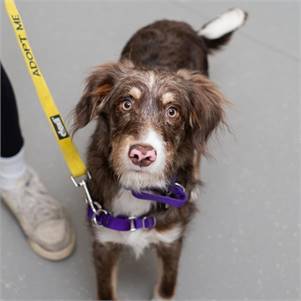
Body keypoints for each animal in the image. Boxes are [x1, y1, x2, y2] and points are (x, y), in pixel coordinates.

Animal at [72, 7, 246, 300]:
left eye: (173, 111)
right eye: (126, 103)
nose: (142, 155)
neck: (138, 189)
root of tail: (182, 26)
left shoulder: (171, 240)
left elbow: (166, 287)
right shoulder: (104, 242)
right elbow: (107, 291)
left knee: (196, 153)